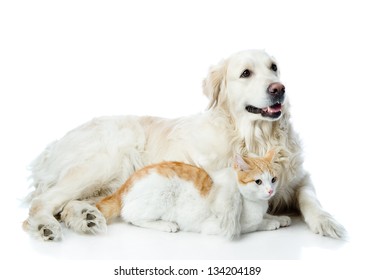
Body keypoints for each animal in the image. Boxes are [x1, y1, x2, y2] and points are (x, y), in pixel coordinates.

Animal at [96, 151, 290, 238]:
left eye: (273, 179)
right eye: (258, 182)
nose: (270, 191)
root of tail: (127, 182)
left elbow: (267, 215)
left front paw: (280, 218)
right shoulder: (218, 225)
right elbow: (255, 224)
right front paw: (270, 223)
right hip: (161, 195)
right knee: (132, 217)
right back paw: (165, 225)